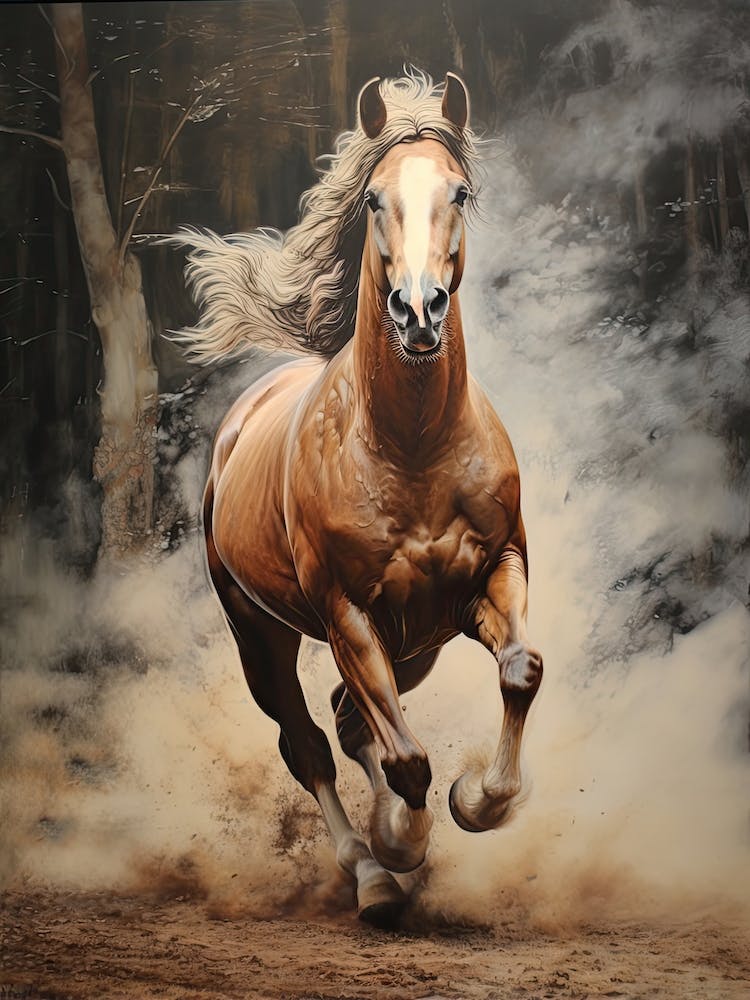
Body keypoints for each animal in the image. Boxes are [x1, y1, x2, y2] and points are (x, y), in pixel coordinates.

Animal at [176, 71, 543, 925]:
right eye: (374, 198)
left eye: (460, 192)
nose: (418, 311)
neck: (413, 448)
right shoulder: (345, 611)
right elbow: (404, 758)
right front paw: (400, 844)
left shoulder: (493, 574)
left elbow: (520, 671)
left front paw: (478, 801)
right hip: (261, 633)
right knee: (309, 740)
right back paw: (369, 871)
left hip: (417, 645)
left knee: (348, 719)